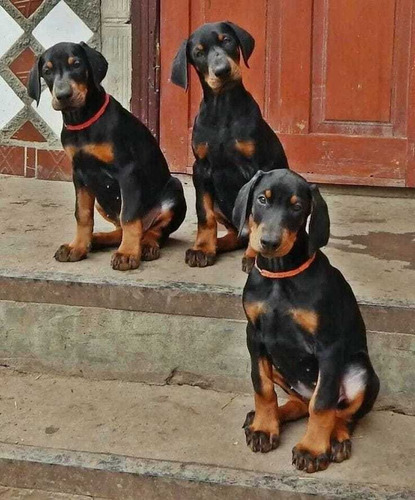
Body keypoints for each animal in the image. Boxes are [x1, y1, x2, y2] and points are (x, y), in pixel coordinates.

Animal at [27, 41, 187, 272]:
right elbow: (82, 214)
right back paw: (97, 239)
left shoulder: (127, 172)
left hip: (174, 190)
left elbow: (129, 216)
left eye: (76, 64)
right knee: (121, 229)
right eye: (47, 71)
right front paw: (77, 246)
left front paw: (127, 253)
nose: (63, 95)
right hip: (101, 202)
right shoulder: (79, 175)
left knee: (154, 229)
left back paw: (145, 245)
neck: (82, 121)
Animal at [172, 21, 290, 272]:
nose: (222, 71)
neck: (223, 106)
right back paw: (218, 244)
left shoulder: (255, 167)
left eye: (226, 40)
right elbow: (204, 213)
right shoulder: (201, 168)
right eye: (198, 53)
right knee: (236, 233)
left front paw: (254, 256)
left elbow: (254, 217)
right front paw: (202, 248)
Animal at [234, 171, 380, 472]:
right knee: (300, 402)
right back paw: (272, 416)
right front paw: (264, 428)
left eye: (297, 207)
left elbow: (322, 403)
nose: (269, 242)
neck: (281, 276)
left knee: (340, 412)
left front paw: (312, 449)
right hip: (279, 366)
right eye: (262, 199)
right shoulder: (254, 336)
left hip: (359, 371)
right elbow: (262, 387)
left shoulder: (329, 345)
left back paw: (336, 439)